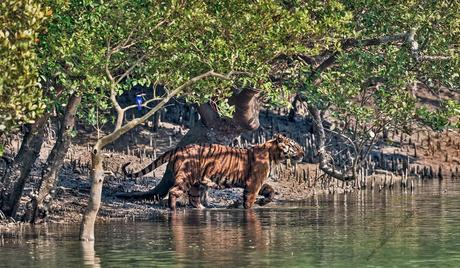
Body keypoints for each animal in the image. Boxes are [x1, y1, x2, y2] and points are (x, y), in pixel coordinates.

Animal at [122, 133, 304, 210]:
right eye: (295, 146)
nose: (303, 153)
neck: (275, 155)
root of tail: (178, 148)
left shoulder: (258, 181)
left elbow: (271, 191)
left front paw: (263, 201)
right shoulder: (253, 183)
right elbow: (249, 201)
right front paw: (249, 208)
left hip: (195, 184)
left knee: (194, 199)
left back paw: (204, 209)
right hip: (186, 177)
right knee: (174, 192)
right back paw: (173, 210)